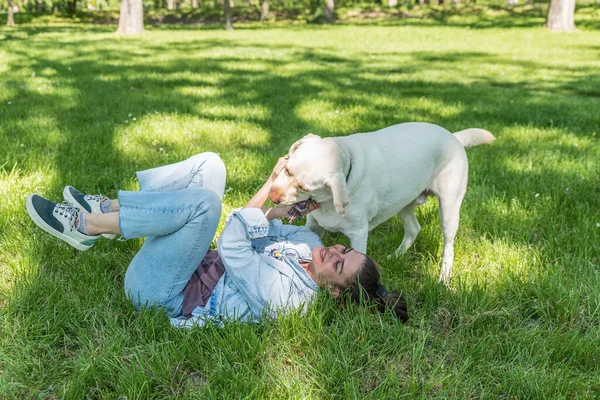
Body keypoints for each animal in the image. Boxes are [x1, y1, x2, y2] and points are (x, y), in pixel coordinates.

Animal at [270, 122, 494, 284]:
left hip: (449, 208)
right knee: (413, 228)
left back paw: (444, 278)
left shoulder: (358, 234)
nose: (272, 197)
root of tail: (453, 137)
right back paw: (396, 256)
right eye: (287, 169)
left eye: (304, 187)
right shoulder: (313, 225)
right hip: (403, 204)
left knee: (448, 244)